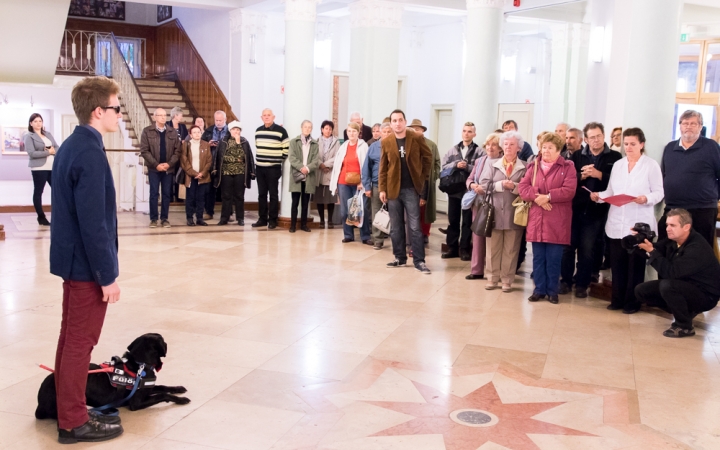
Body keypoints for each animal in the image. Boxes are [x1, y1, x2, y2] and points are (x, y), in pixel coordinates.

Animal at [35, 332, 190, 420]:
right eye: (163, 340)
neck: (140, 364)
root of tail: (39, 403)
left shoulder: (148, 388)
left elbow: (163, 387)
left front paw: (178, 388)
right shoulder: (136, 403)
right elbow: (162, 395)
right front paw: (181, 400)